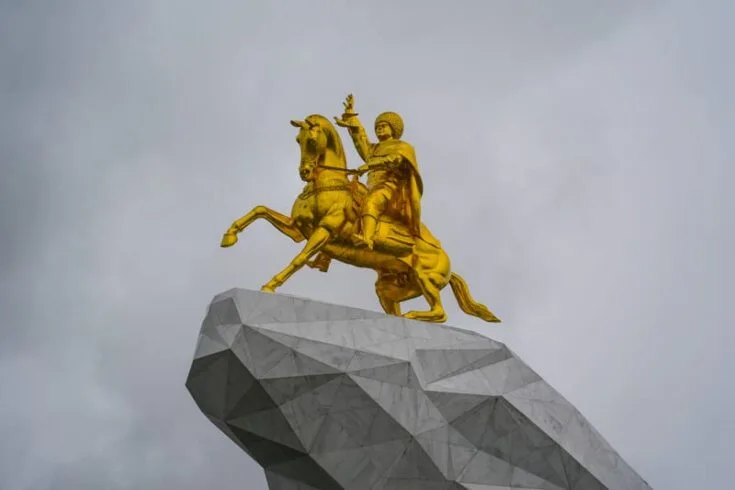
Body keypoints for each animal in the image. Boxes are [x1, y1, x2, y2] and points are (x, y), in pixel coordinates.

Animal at [218, 113, 500, 324]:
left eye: (312, 141)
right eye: (297, 140)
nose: (305, 172)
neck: (327, 185)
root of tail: (448, 262)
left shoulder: (324, 231)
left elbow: (299, 258)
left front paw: (270, 285)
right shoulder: (297, 228)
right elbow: (259, 210)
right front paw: (229, 236)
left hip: (426, 279)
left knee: (440, 313)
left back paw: (413, 316)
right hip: (390, 289)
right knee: (401, 309)